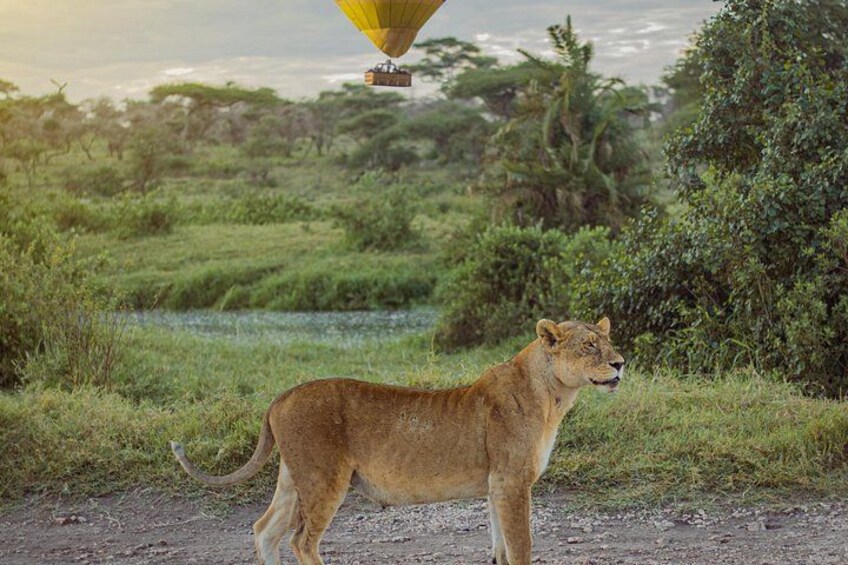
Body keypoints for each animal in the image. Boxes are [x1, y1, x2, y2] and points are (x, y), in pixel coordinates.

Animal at [170, 317, 625, 565]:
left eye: (609, 342)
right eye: (590, 345)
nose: (621, 363)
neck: (552, 395)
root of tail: (281, 396)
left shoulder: (496, 485)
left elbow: (500, 547)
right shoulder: (513, 482)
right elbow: (522, 546)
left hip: (292, 477)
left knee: (265, 530)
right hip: (323, 479)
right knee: (301, 540)